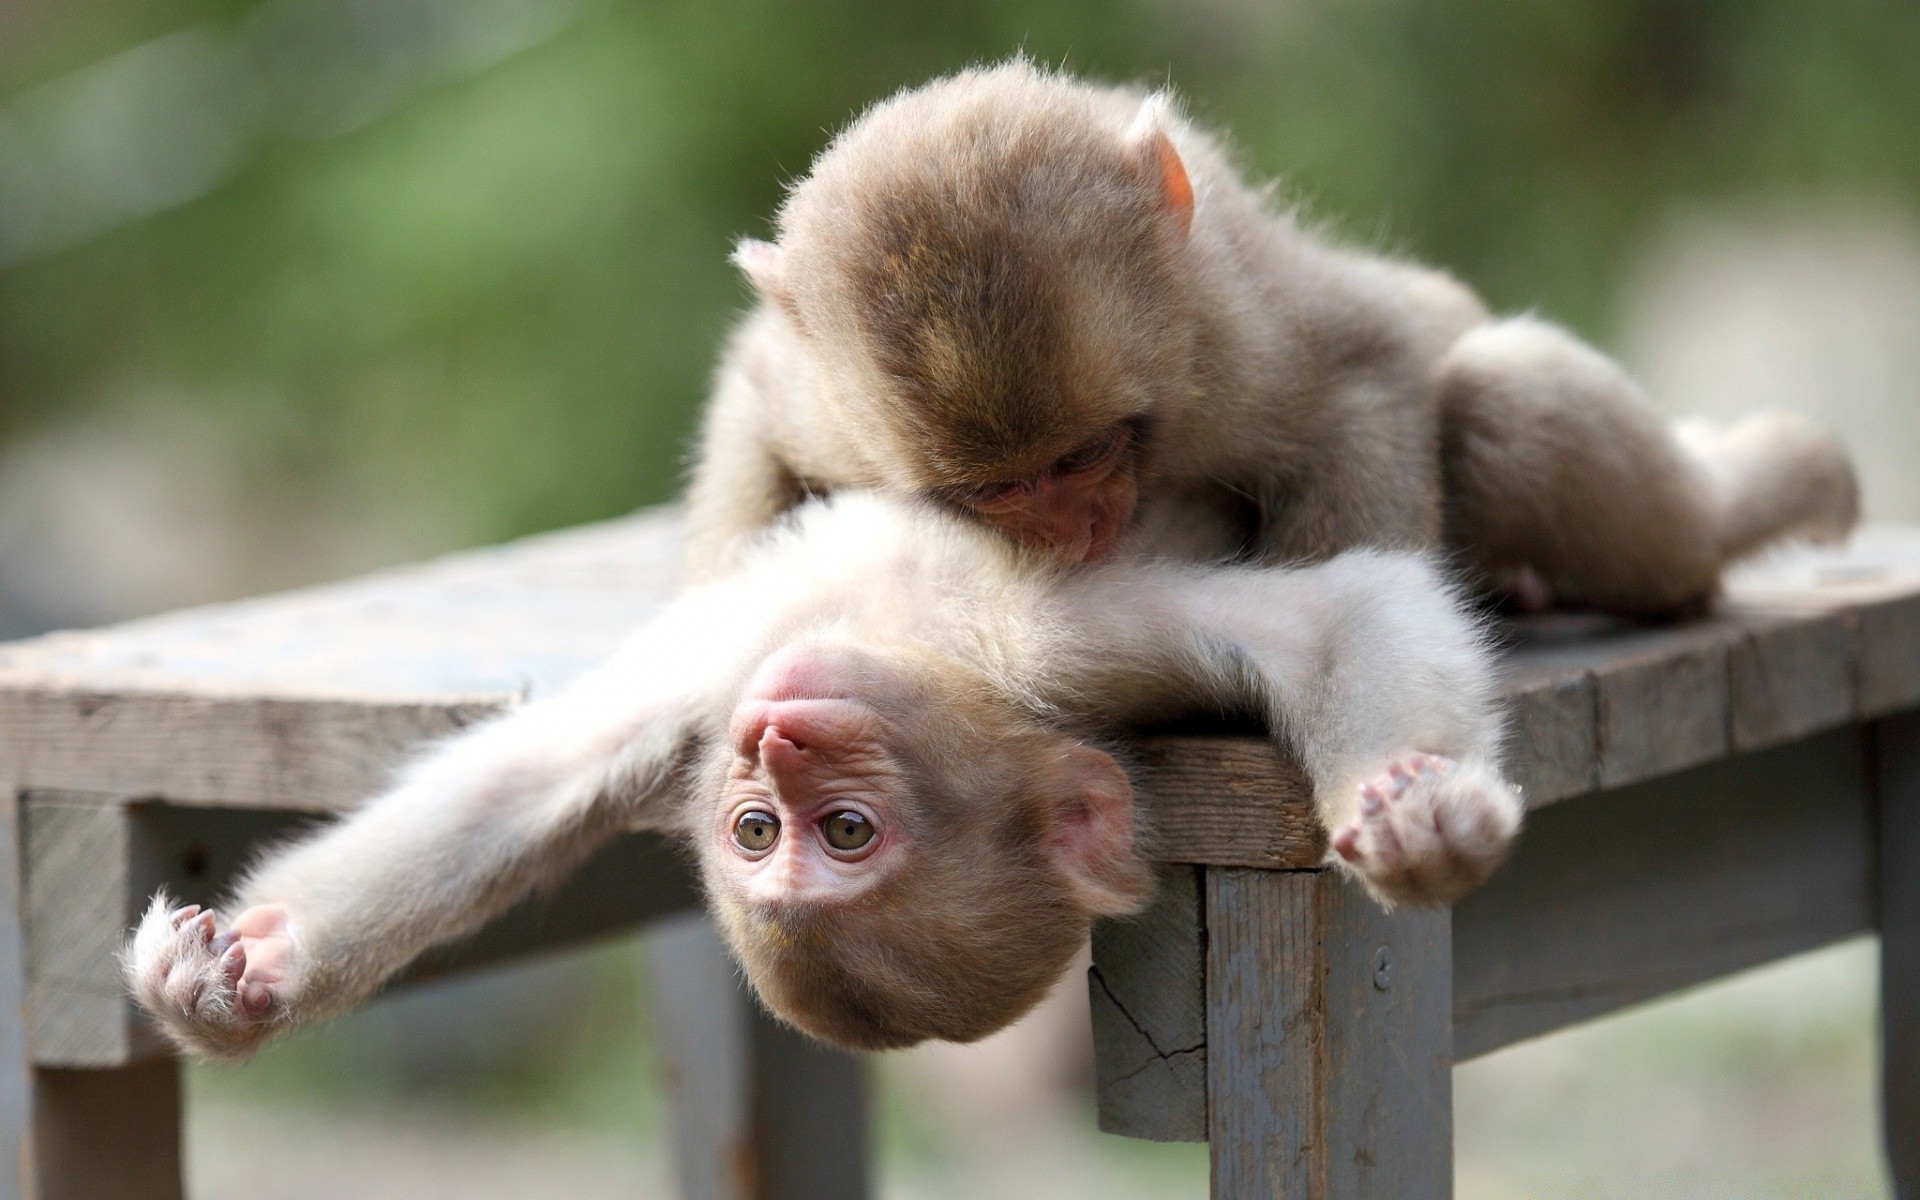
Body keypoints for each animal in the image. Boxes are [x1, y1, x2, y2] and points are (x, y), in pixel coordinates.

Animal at [127, 491, 1520, 1052]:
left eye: (843, 832)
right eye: (758, 833)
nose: (778, 740)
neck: (912, 641)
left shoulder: (1051, 647)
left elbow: (1347, 611)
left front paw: (1424, 822)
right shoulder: (721, 690)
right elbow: (523, 780)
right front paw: (241, 982)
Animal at [679, 59, 1858, 614]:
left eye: (1083, 456)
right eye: (996, 492)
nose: (1074, 531)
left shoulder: (1230, 346)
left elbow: (1369, 374)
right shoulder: (828, 403)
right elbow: (751, 396)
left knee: (1501, 404)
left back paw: (1718, 527)